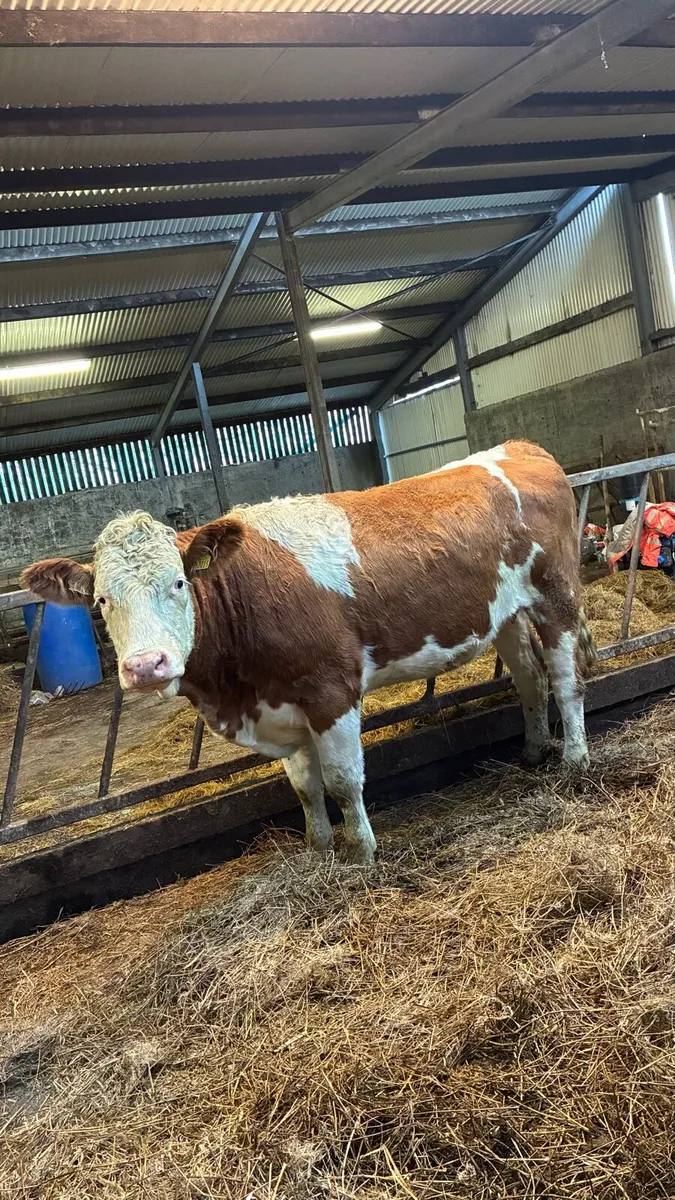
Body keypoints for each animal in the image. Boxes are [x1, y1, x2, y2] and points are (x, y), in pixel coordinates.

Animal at [21, 440, 595, 864]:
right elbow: (304, 788)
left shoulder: (330, 690)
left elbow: (341, 781)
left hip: (557, 594)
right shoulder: (279, 703)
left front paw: (361, 853)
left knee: (567, 681)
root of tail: (518, 448)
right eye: (101, 600)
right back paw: (533, 752)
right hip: (506, 614)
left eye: (179, 583)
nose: (145, 666)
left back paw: (574, 761)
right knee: (530, 678)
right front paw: (319, 852)